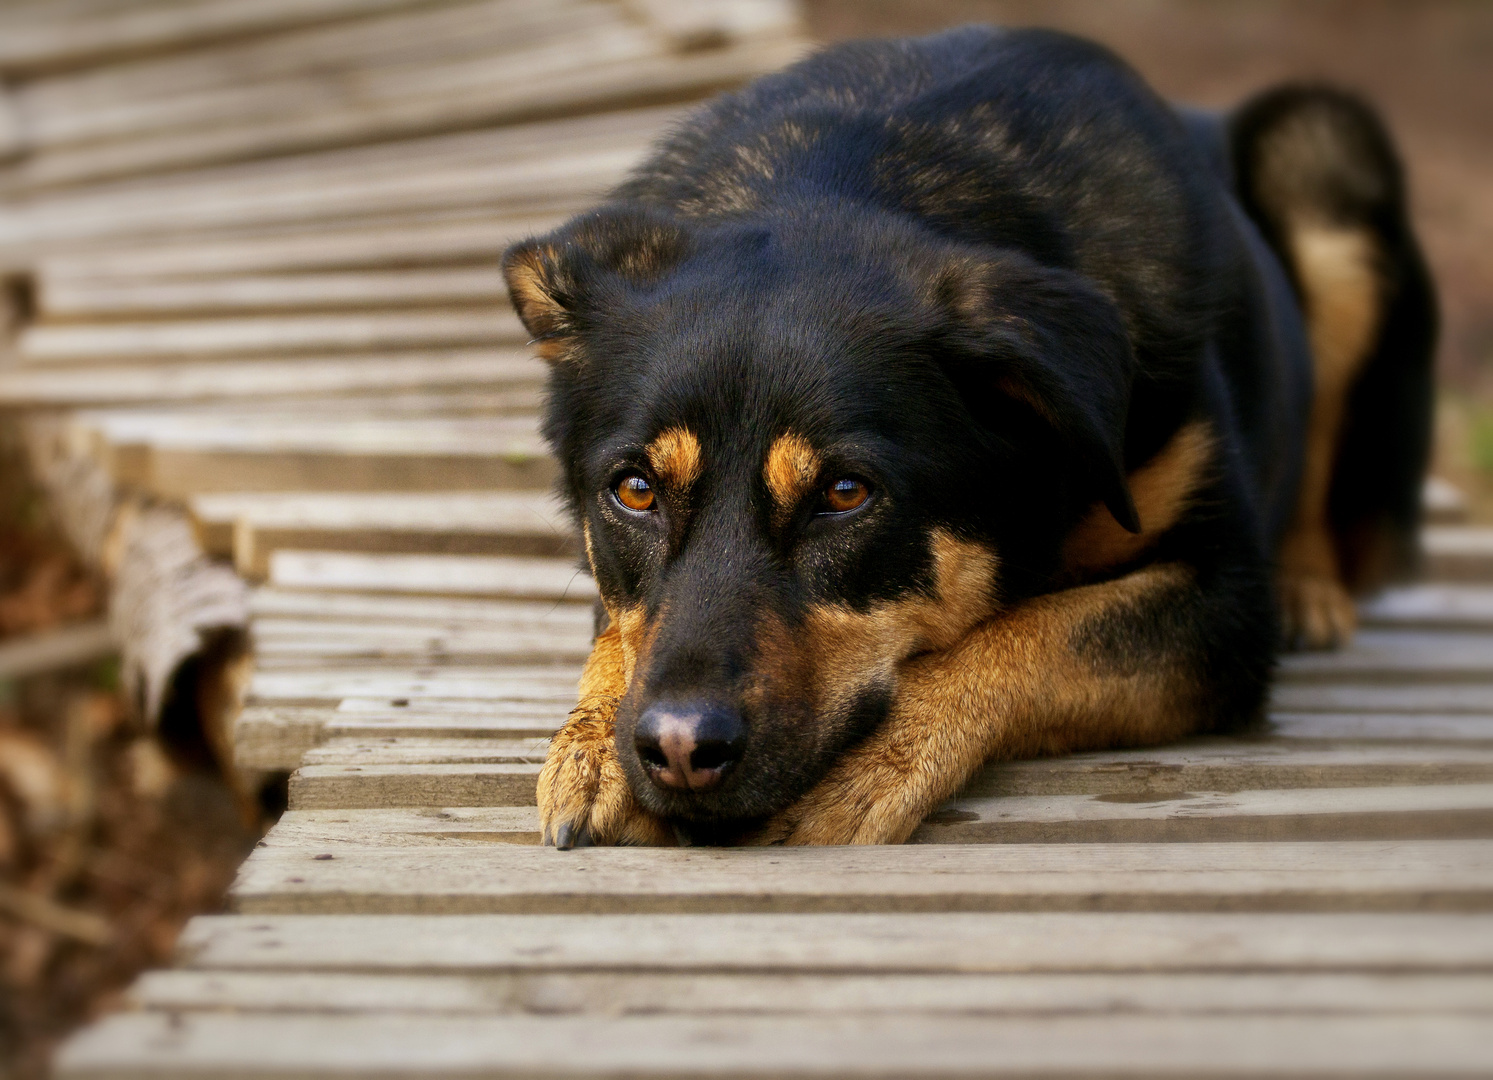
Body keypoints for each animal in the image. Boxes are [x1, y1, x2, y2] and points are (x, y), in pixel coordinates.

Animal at [498, 25, 1433, 848]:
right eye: (634, 490)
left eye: (844, 494)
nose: (679, 749)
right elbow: (620, 630)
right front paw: (591, 746)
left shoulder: (1225, 603)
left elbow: (1037, 632)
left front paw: (874, 762)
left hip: (1321, 147)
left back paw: (1311, 586)